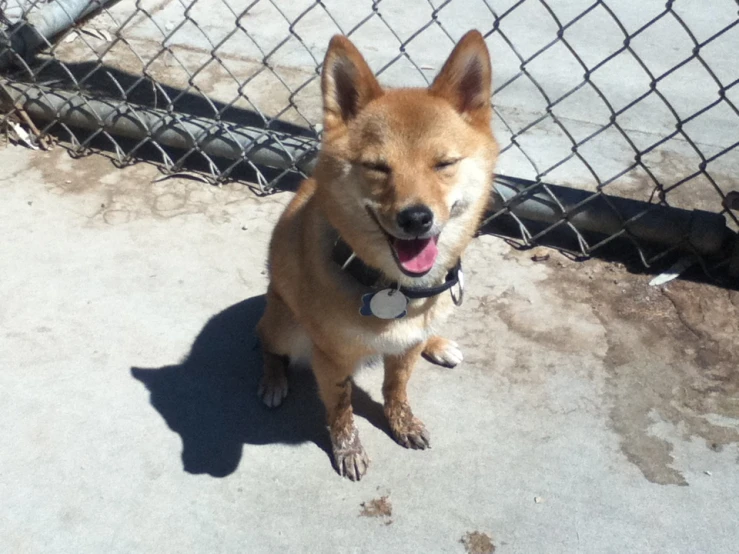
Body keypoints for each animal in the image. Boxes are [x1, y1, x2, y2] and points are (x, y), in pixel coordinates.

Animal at [258, 30, 500, 478]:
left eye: (444, 163)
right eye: (377, 167)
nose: (416, 217)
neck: (394, 289)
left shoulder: (404, 349)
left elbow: (396, 387)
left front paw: (402, 421)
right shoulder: (330, 357)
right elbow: (341, 407)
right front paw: (347, 447)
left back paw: (437, 342)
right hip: (285, 325)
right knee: (265, 339)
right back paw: (273, 379)